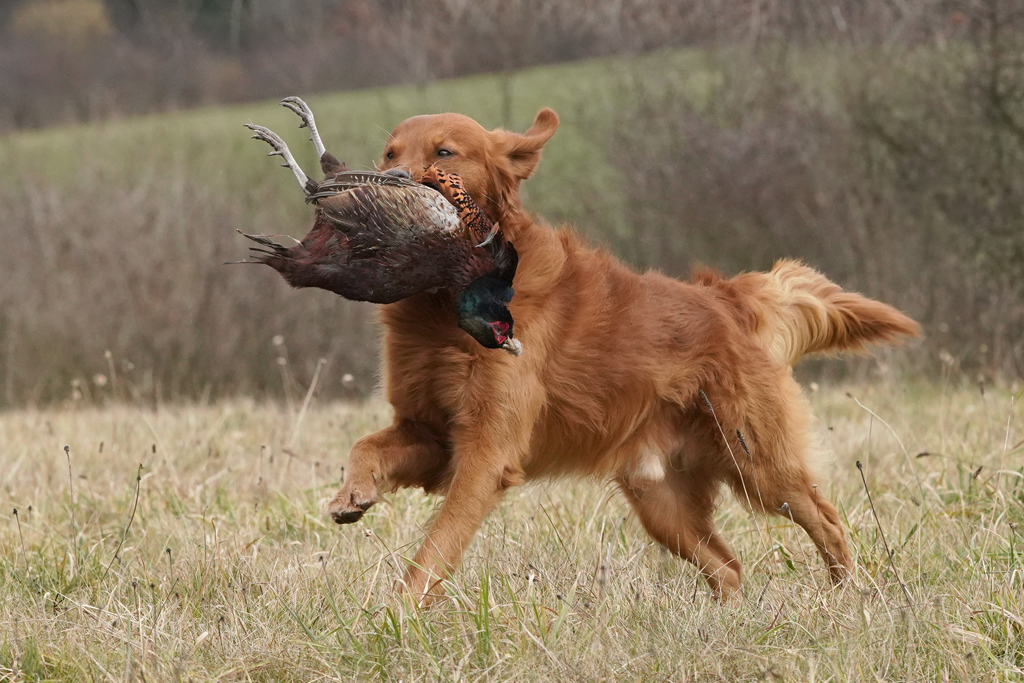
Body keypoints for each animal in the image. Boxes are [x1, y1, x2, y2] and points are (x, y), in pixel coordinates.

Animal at [323, 107, 917, 602]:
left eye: (444, 152)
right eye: (390, 154)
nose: (387, 184)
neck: (444, 304)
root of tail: (725, 298)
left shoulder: (486, 452)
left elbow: (439, 544)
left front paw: (401, 612)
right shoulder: (432, 433)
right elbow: (365, 445)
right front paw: (353, 493)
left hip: (759, 463)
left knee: (826, 520)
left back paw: (848, 597)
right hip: (661, 502)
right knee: (728, 567)